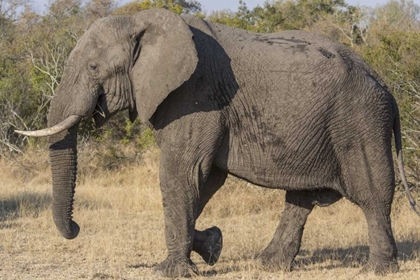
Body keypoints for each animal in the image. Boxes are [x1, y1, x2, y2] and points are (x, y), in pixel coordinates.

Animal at [14, 7, 418, 276]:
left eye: (94, 68)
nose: (77, 229)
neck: (142, 21)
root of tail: (388, 89)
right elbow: (203, 181)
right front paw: (212, 245)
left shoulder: (195, 96)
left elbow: (183, 173)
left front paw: (170, 271)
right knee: (302, 198)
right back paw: (268, 264)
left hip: (359, 121)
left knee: (371, 193)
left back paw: (378, 269)